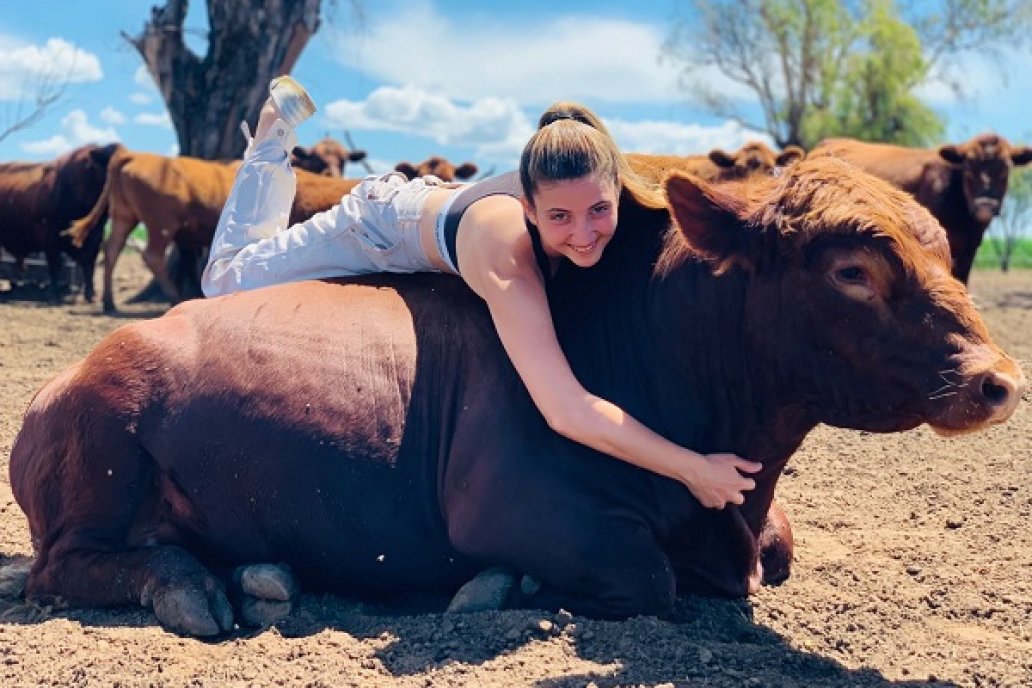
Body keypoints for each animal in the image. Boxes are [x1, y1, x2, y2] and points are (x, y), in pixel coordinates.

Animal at [0, 144, 119, 303]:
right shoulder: (50, 238)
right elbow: (55, 266)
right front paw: (54, 294)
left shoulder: (96, 237)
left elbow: (89, 266)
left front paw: (90, 294)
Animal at [10, 158, 1023, 639]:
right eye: (851, 269)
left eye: (945, 248)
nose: (998, 380)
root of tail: (63, 378)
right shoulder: (518, 507)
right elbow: (648, 579)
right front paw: (508, 585)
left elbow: (777, 550)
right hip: (105, 452)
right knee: (66, 565)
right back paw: (188, 584)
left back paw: (260, 574)